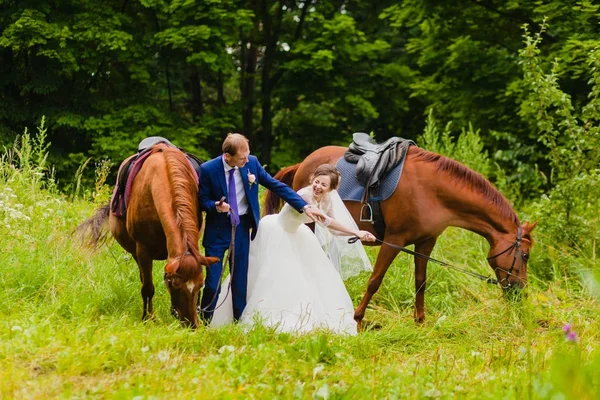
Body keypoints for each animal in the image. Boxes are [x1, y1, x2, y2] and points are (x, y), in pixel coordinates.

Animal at [75, 144, 218, 328]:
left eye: (201, 283)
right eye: (173, 284)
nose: (191, 325)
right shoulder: (143, 251)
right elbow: (148, 287)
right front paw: (148, 318)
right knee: (144, 280)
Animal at [264, 145, 536, 326]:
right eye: (524, 255)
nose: (521, 293)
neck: (432, 190)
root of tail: (304, 163)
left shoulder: (425, 242)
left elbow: (420, 281)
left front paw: (420, 320)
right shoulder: (394, 241)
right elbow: (375, 280)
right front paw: (358, 319)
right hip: (309, 221)